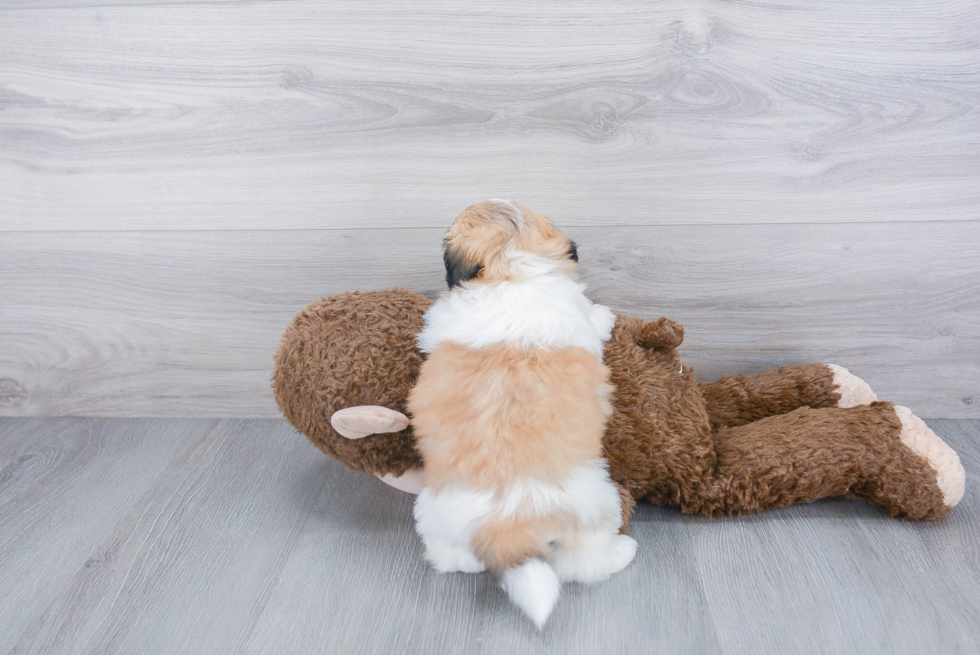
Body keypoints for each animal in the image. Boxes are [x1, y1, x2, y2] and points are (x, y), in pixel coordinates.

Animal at [404, 201, 636, 632]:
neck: (510, 268)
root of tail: (510, 525)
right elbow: (592, 321)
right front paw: (605, 316)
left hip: (435, 512)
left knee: (453, 557)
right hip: (598, 506)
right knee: (584, 564)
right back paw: (622, 551)